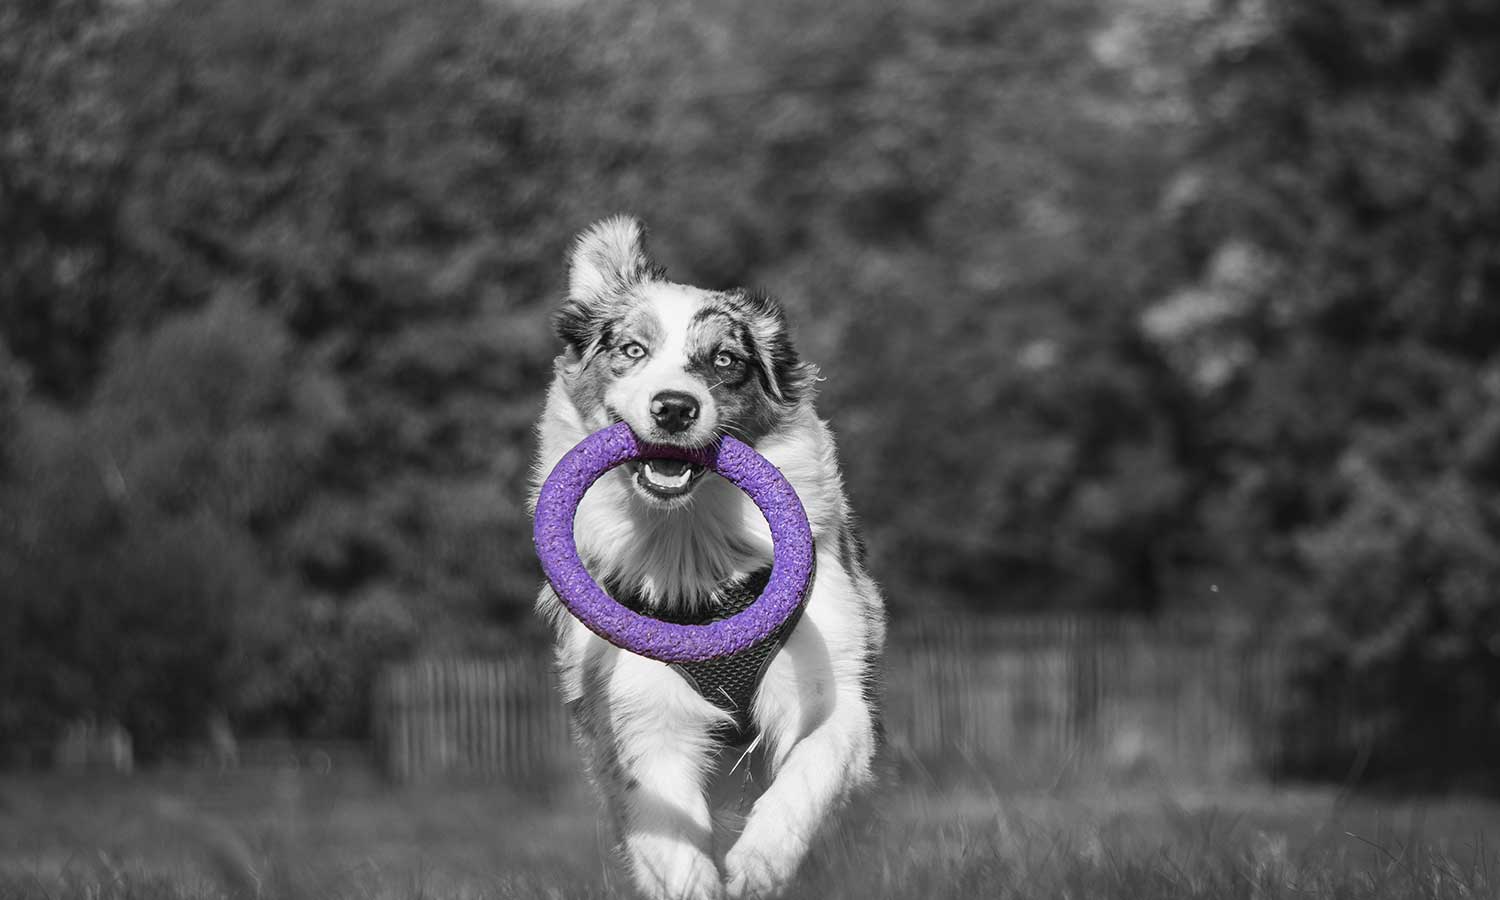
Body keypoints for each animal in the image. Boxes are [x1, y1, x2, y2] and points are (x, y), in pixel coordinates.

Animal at [528, 217, 882, 900]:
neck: (687, 542)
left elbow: (814, 763)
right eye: (632, 350)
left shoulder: (832, 684)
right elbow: (665, 825)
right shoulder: (638, 708)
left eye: (724, 360)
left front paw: (762, 861)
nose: (674, 407)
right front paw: (699, 880)